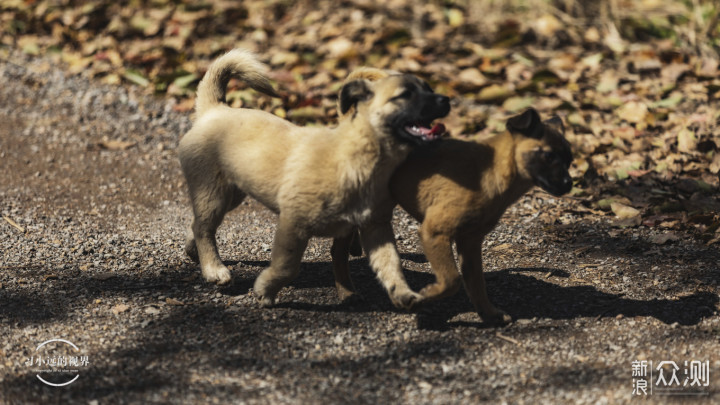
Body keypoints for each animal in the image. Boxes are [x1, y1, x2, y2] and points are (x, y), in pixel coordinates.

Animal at [179, 48, 450, 306]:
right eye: (405, 95)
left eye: (428, 88)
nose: (446, 99)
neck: (360, 158)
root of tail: (214, 109)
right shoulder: (293, 225)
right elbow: (287, 266)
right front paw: (265, 291)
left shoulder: (374, 228)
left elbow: (389, 264)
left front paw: (401, 293)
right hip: (212, 192)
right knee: (204, 228)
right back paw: (214, 270)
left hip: (232, 194)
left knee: (198, 224)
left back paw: (195, 253)